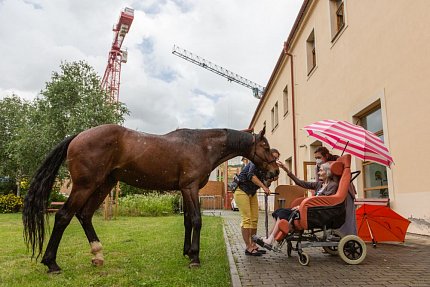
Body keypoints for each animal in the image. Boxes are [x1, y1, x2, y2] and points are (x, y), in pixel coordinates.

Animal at [22, 124, 278, 272]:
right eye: (266, 147)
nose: (274, 172)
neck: (202, 145)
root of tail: (78, 136)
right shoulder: (190, 188)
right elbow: (196, 220)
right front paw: (195, 258)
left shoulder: (184, 190)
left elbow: (187, 221)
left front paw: (187, 252)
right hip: (86, 186)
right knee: (64, 216)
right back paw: (51, 263)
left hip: (104, 184)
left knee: (84, 215)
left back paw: (98, 255)